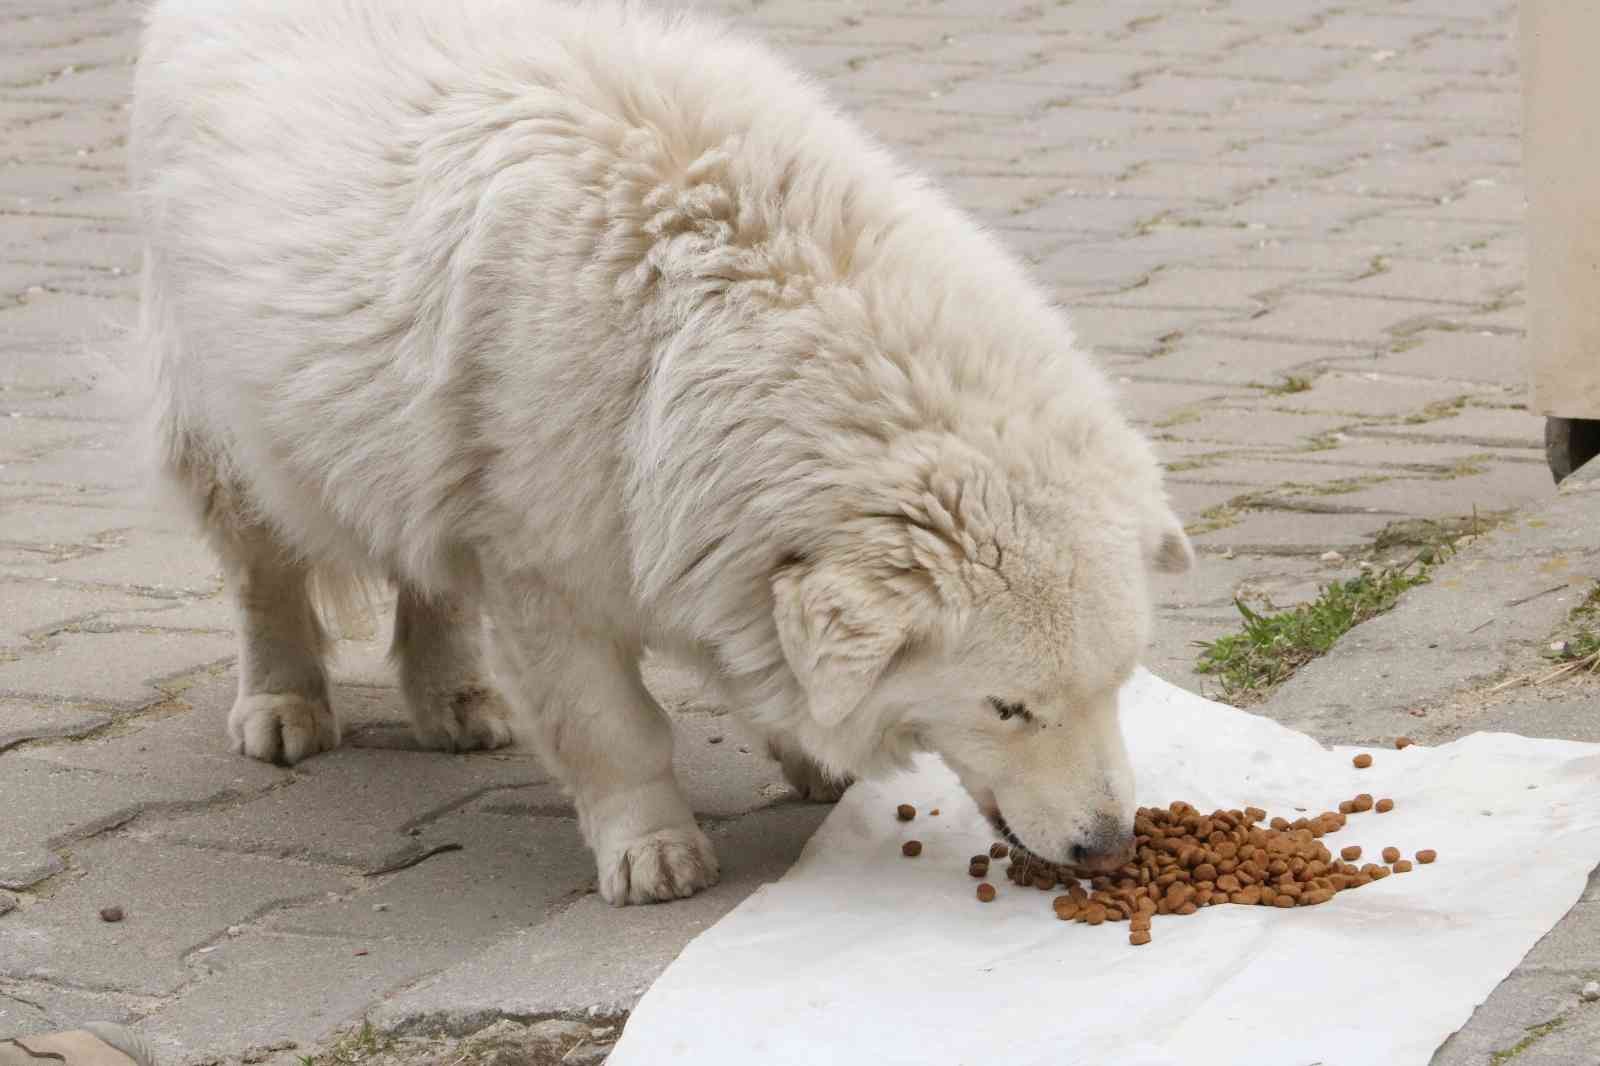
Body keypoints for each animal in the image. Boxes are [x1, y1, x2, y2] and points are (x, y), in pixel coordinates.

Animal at [134, 0, 1190, 902]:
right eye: (1007, 708)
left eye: (1116, 686)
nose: (1107, 846)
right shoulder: (544, 571)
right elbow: (616, 731)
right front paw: (653, 851)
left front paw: (807, 756)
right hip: (228, 417)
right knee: (265, 572)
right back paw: (284, 703)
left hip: (406, 440)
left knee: (422, 567)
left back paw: (455, 698)